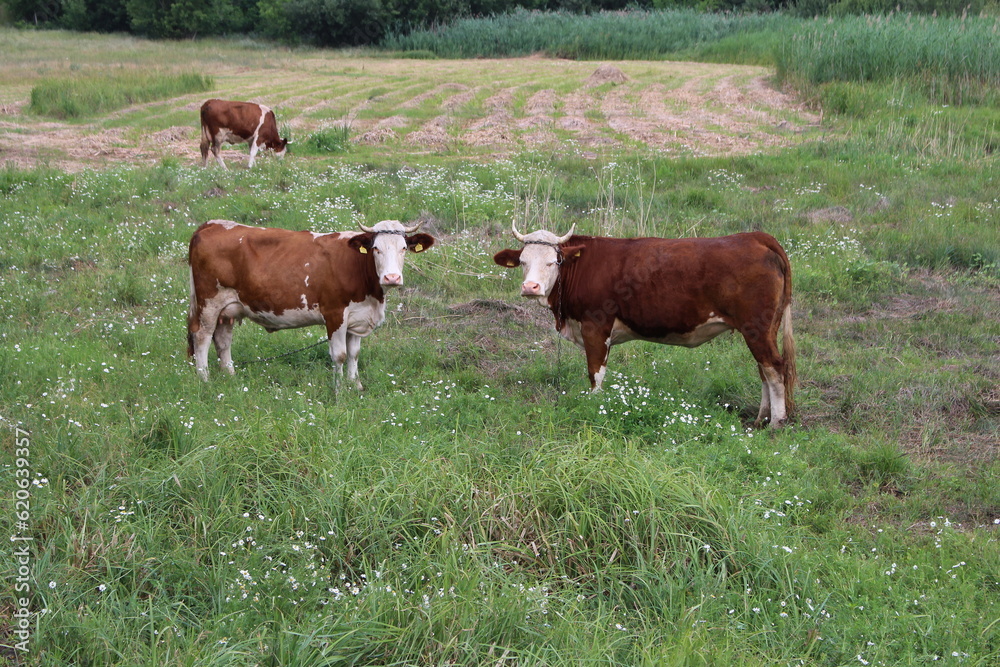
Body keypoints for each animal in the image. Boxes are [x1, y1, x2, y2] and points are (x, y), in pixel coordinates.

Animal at [189, 219, 436, 388]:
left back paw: (230, 376)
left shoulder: (357, 317)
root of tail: (212, 224)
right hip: (209, 303)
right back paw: (204, 379)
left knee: (223, 340)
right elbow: (340, 355)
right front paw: (338, 391)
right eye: (376, 248)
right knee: (202, 337)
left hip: (228, 308)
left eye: (403, 248)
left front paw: (355, 385)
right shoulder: (335, 314)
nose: (392, 278)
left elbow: (354, 354)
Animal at [492, 227, 796, 428]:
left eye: (553, 261)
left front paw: (594, 407)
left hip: (756, 326)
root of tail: (755, 237)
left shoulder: (595, 326)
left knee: (774, 367)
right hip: (762, 329)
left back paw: (776, 424)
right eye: (522, 261)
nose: (530, 287)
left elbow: (595, 374)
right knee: (764, 370)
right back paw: (760, 418)